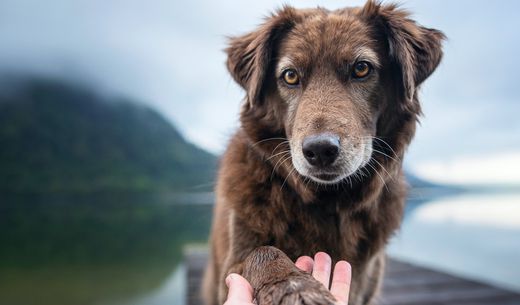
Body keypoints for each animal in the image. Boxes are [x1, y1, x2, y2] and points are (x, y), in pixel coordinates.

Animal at [202, 2, 442, 304]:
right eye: (290, 75)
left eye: (361, 68)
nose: (319, 150)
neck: (328, 202)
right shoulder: (233, 264)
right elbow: (263, 253)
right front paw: (295, 288)